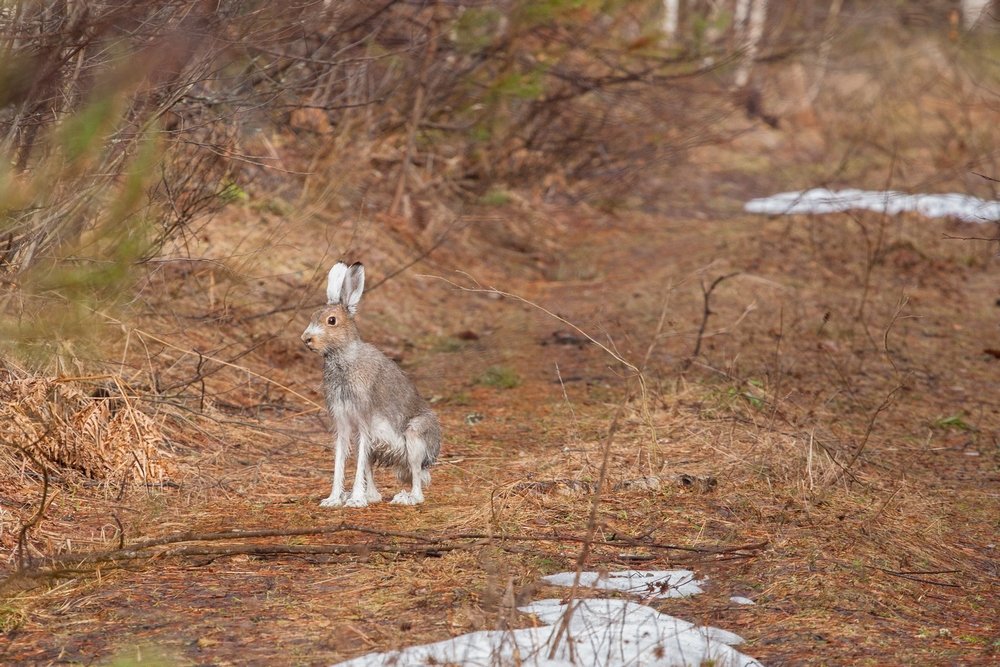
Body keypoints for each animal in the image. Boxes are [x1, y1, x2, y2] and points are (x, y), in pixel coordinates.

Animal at [301, 261, 441, 508]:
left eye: (331, 321)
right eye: (313, 315)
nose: (306, 339)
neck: (344, 358)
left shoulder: (364, 421)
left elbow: (356, 465)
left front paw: (355, 501)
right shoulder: (343, 423)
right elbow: (339, 461)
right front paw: (332, 500)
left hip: (415, 438)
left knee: (417, 481)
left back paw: (404, 498)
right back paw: (369, 496)